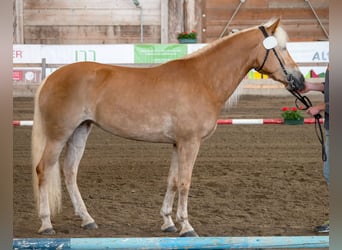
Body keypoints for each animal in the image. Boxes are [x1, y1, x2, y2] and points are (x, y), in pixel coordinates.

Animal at [32, 17, 304, 236]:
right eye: (281, 48)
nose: (299, 80)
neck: (203, 79)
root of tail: (51, 77)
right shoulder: (190, 143)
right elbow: (185, 182)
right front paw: (186, 226)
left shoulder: (177, 144)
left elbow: (172, 181)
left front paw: (168, 222)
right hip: (58, 135)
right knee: (44, 169)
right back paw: (45, 224)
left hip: (81, 131)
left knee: (69, 171)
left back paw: (87, 219)